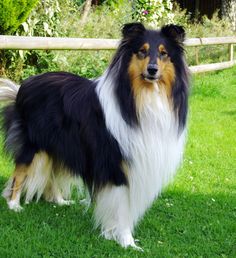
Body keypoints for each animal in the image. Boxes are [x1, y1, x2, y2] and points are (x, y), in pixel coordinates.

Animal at [0, 23, 188, 249]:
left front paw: (115, 235)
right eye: (141, 51)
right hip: (32, 145)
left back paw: (60, 201)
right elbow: (123, 208)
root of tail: (22, 87)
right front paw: (126, 241)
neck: (141, 97)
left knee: (53, 173)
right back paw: (13, 204)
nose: (152, 70)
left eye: (163, 53)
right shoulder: (117, 166)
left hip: (61, 145)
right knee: (19, 173)